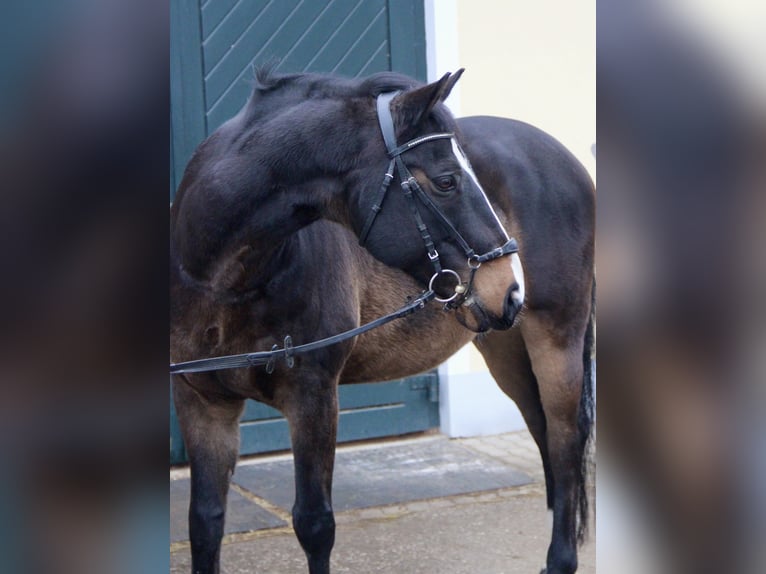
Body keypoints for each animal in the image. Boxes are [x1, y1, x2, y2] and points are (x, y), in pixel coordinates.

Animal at [171, 68, 596, 574]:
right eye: (447, 181)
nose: (510, 289)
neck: (222, 284)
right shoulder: (202, 403)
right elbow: (204, 522)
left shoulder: (314, 395)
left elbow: (314, 523)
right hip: (505, 348)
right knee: (543, 431)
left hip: (556, 335)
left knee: (566, 439)